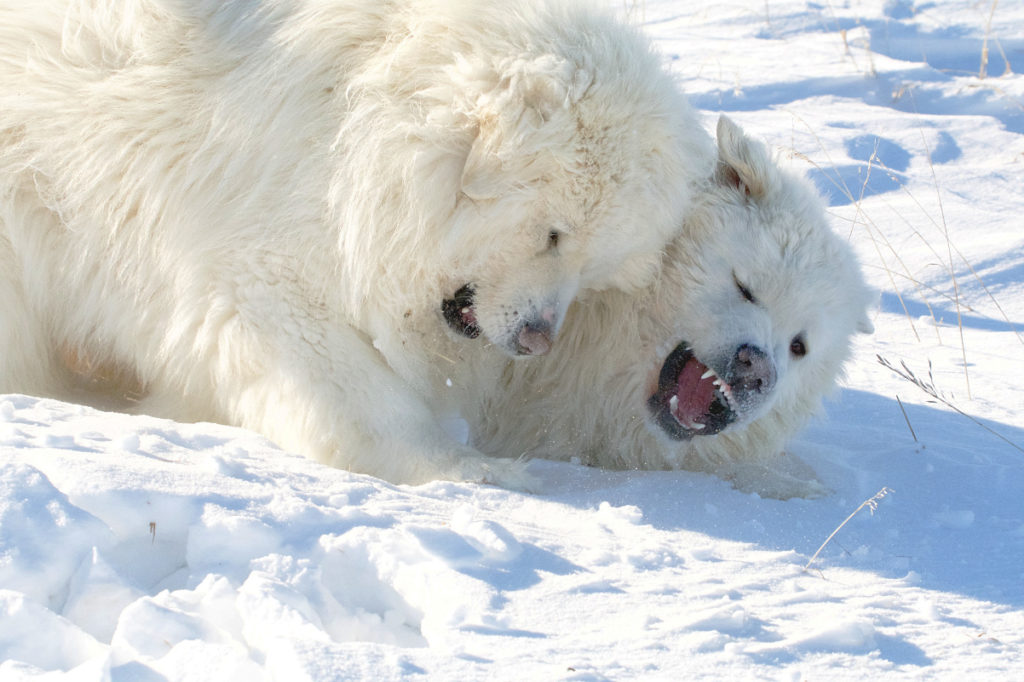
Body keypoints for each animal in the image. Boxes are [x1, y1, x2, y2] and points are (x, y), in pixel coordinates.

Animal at [0, 2, 712, 485]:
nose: (539, 339)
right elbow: (362, 394)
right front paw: (460, 470)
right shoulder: (256, 279)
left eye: (594, 267)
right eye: (553, 234)